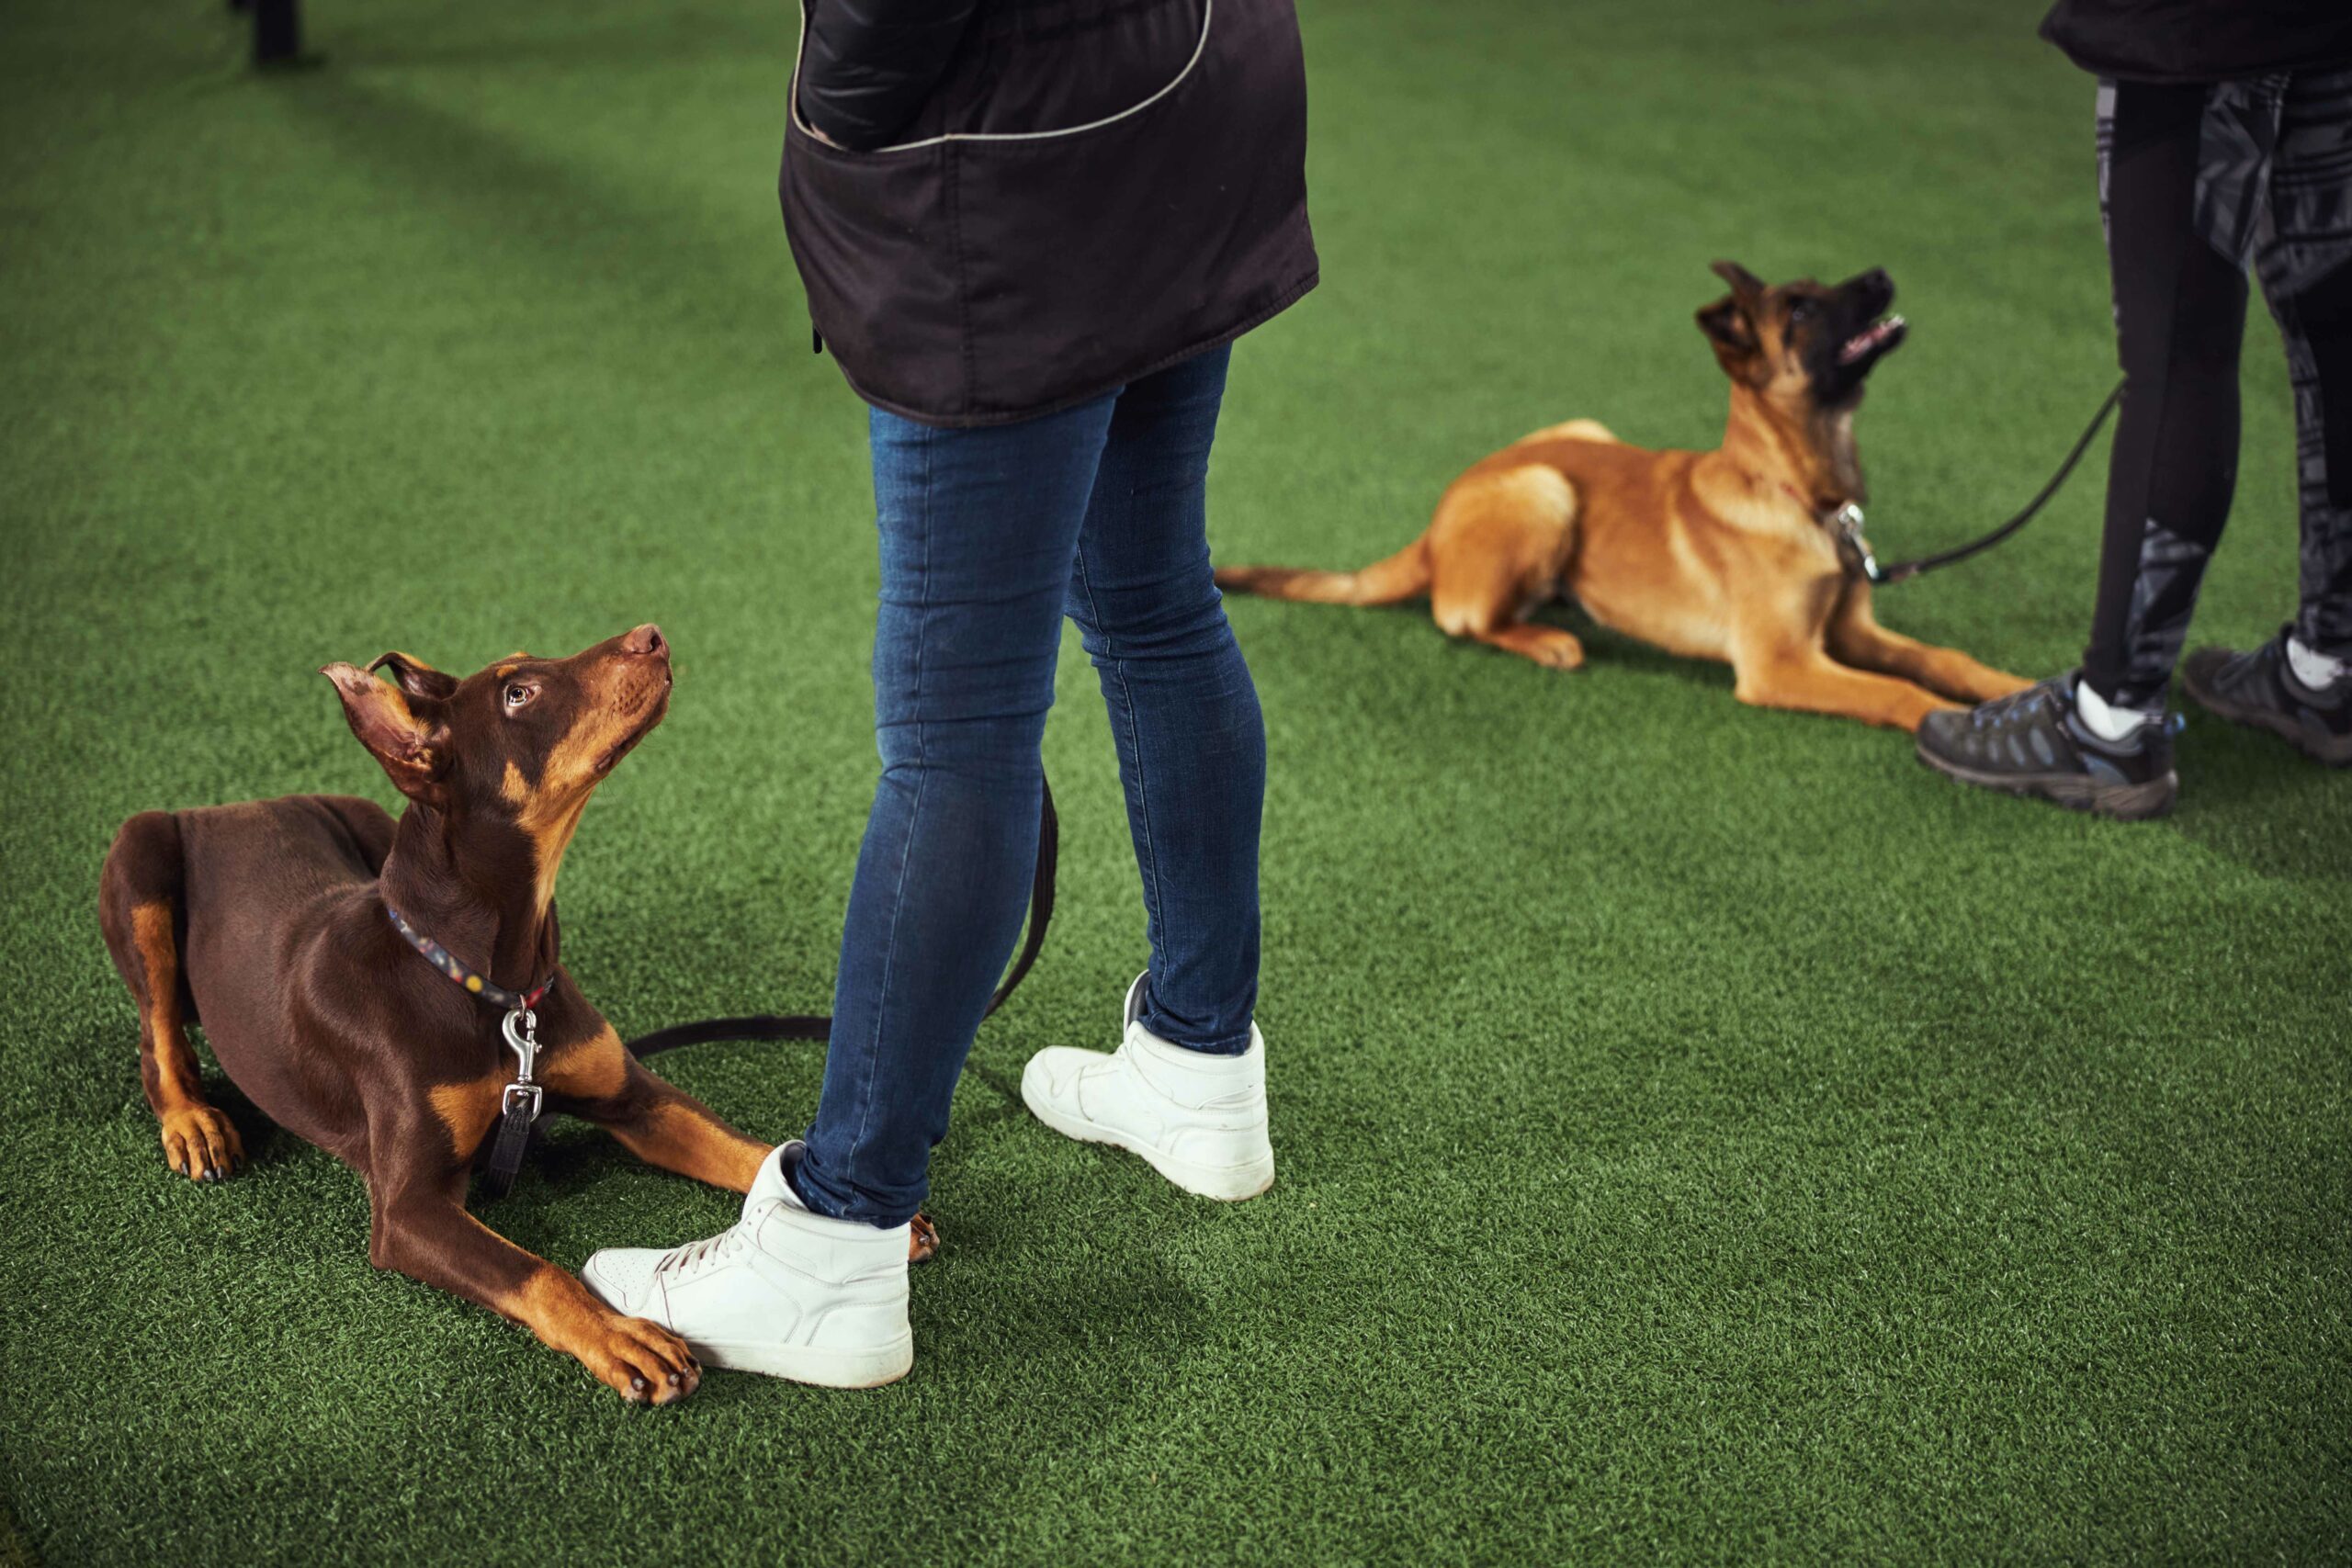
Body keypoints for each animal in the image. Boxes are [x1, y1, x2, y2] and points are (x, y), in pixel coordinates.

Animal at [107, 625, 828, 1410]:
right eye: (518, 693)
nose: (652, 635)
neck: (495, 985)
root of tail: (235, 805)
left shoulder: (634, 1096)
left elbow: (744, 1148)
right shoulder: (408, 1209)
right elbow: (533, 1270)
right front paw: (622, 1338)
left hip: (364, 815)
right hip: (140, 850)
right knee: (156, 1035)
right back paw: (193, 1123)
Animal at [1213, 263, 2022, 738]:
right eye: (1800, 309)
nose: (1882, 272)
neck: (1797, 492)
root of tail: (1436, 522)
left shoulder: (1851, 631)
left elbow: (1943, 658)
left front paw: (2011, 689)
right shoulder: (1782, 664)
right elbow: (1897, 691)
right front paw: (1952, 722)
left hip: (1578, 429)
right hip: (1545, 492)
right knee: (1463, 616)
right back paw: (1548, 637)